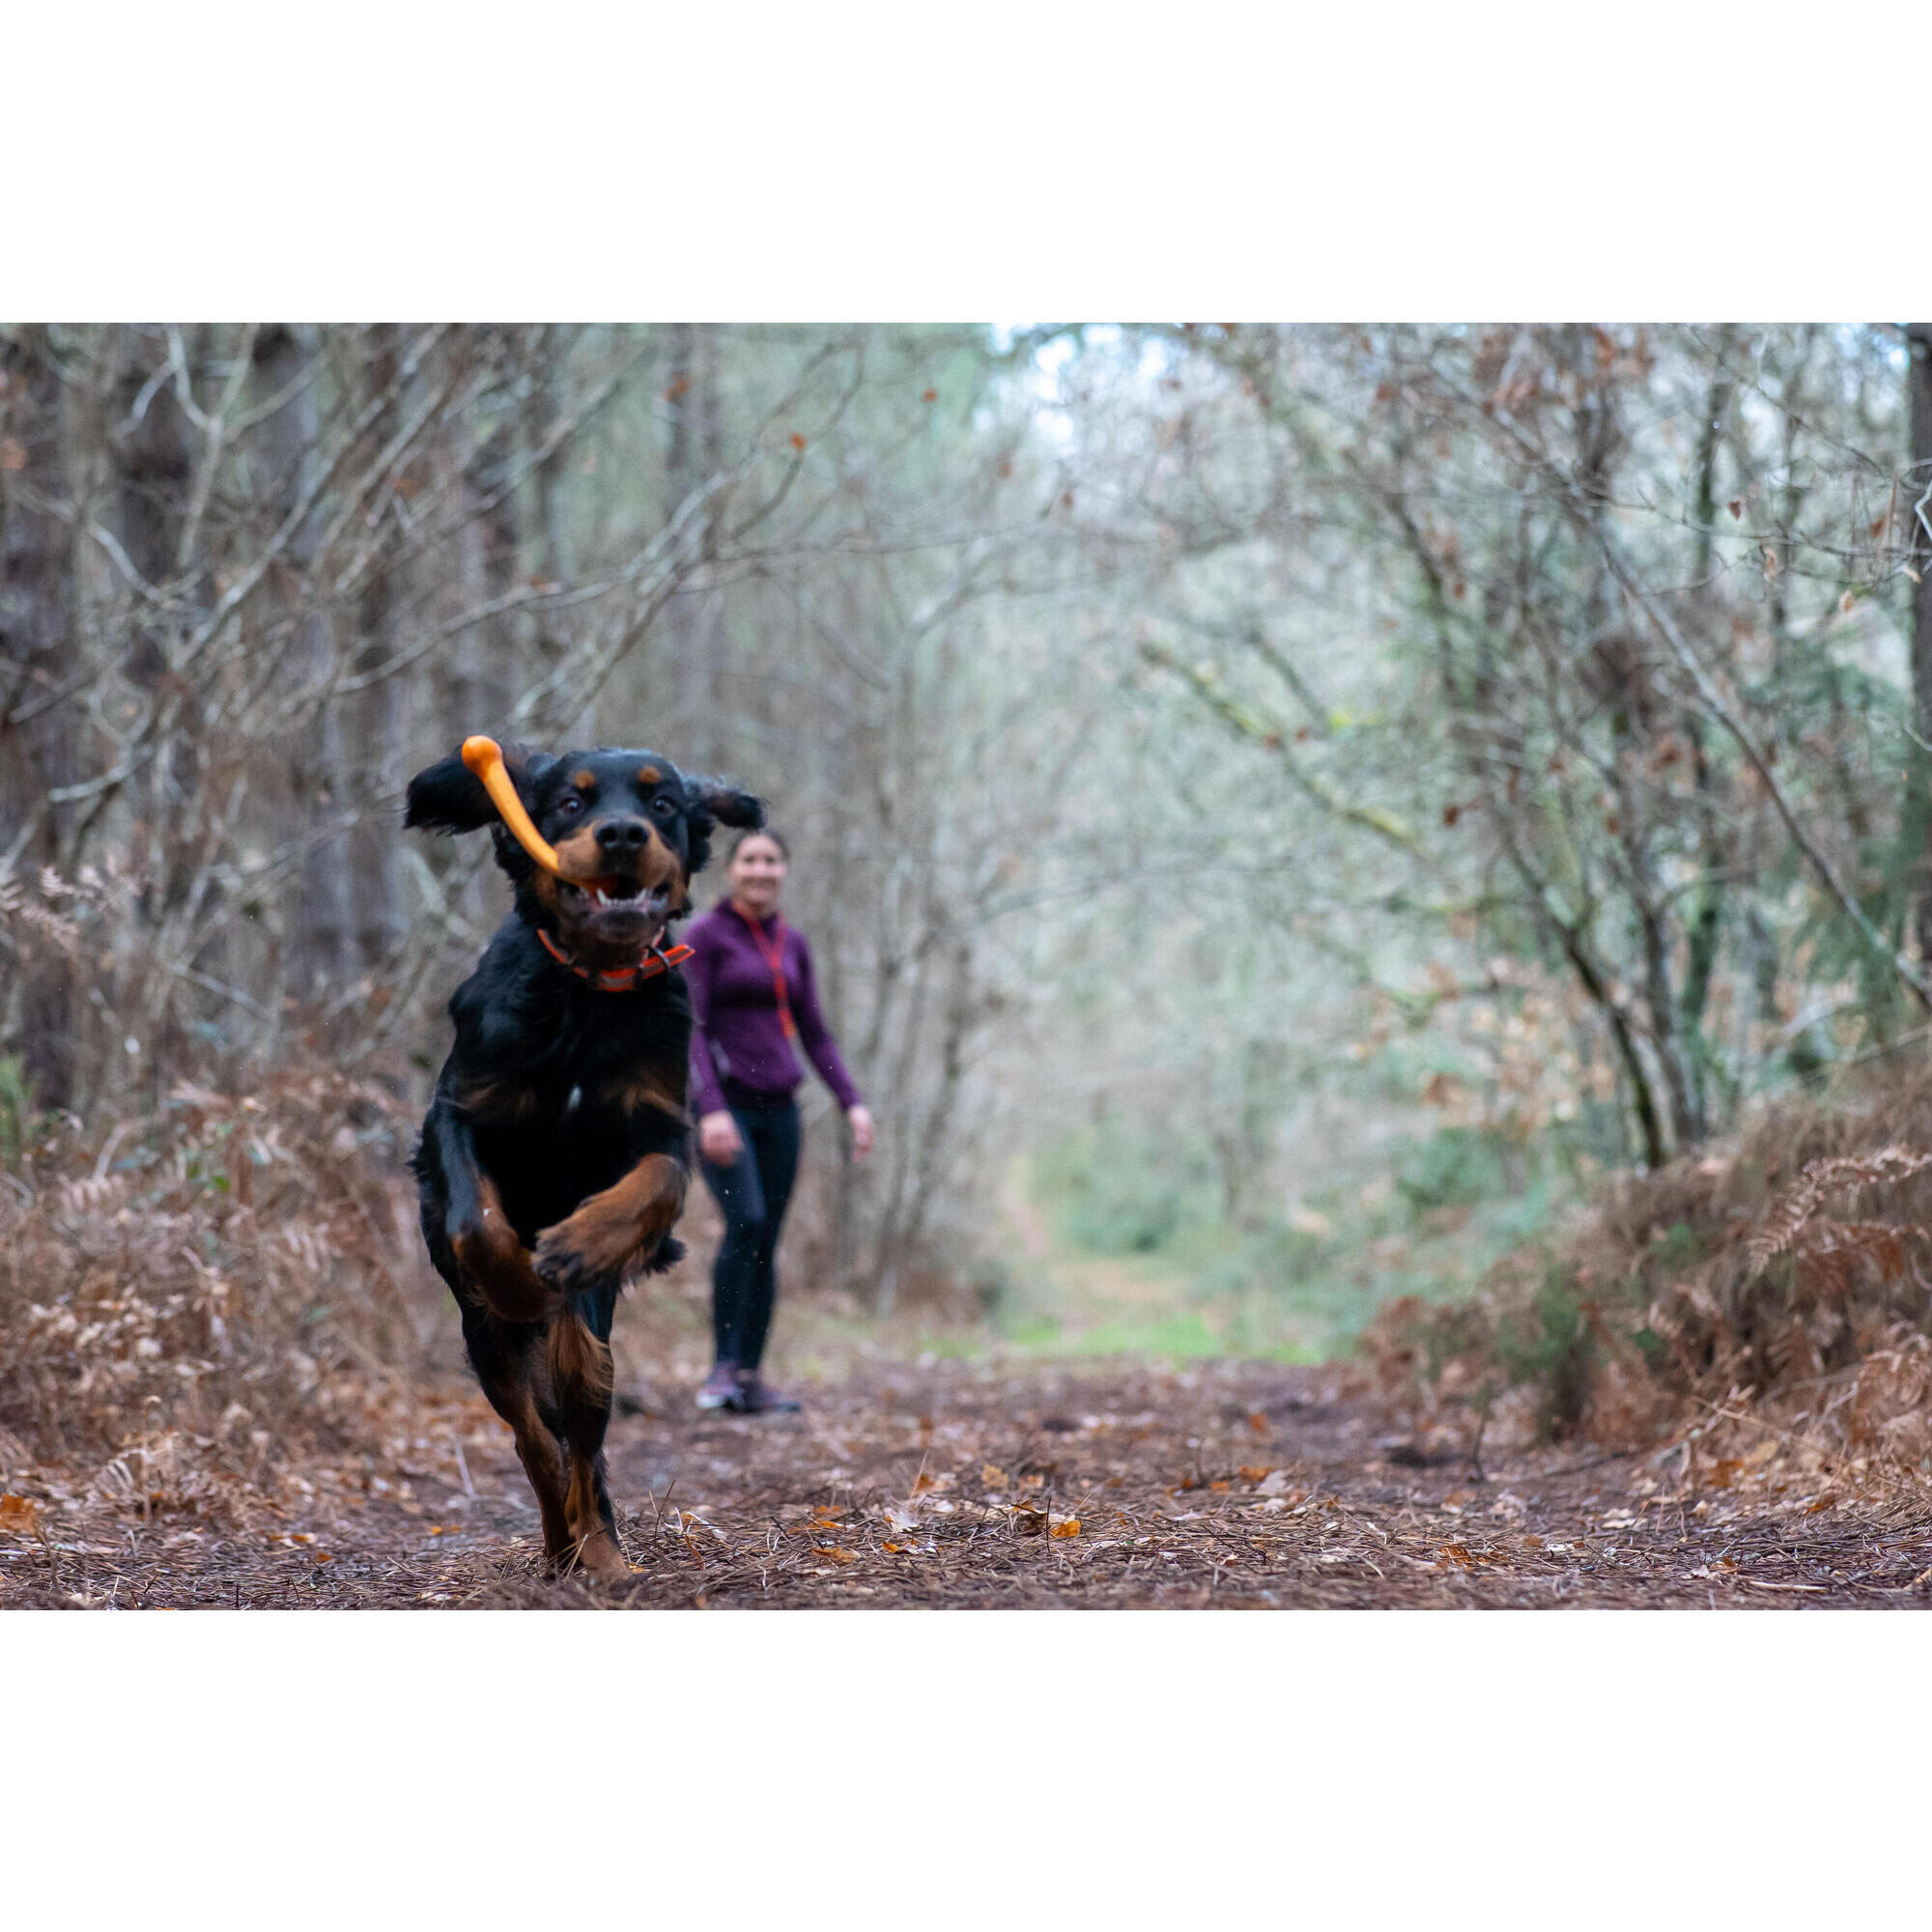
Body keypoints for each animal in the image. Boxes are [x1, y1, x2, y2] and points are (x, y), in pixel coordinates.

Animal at [408, 730, 761, 1577]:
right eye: (570, 801)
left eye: (662, 801)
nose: (624, 835)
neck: (587, 991)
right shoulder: (460, 1109)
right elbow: (476, 1218)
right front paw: (517, 1275)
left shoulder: (663, 1124)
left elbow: (657, 1181)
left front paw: (574, 1244)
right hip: (487, 1347)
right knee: (537, 1443)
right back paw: (558, 1548)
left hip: (588, 1340)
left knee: (583, 1440)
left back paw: (599, 1551)